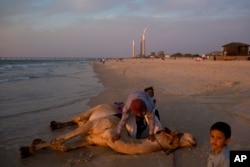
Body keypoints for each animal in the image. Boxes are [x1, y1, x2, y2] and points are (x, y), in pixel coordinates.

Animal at [19, 103, 196, 159]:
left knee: (77, 122)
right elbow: (66, 137)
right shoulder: (94, 125)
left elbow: (68, 146)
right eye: (178, 133)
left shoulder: (90, 139)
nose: (193, 139)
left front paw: (31, 147)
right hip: (92, 111)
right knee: (78, 118)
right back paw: (55, 124)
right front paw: (31, 147)